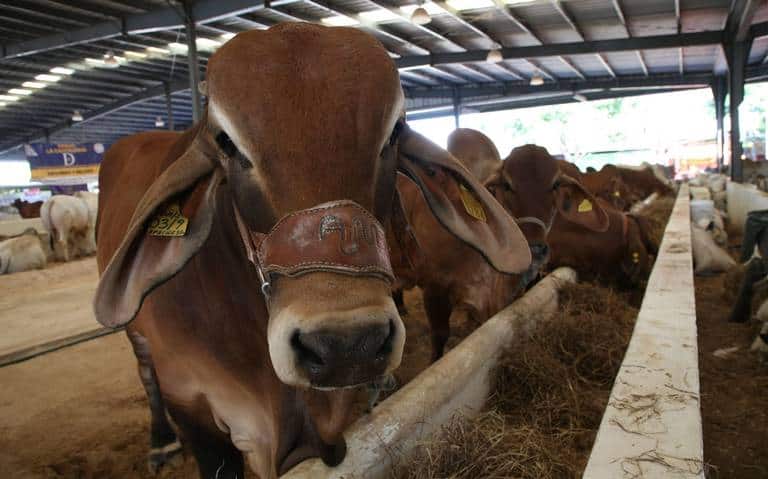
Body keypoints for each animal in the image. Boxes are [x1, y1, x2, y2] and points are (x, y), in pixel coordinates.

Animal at [93, 25, 532, 479]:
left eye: (393, 132)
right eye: (226, 143)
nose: (346, 344)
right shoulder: (191, 403)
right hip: (138, 338)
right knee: (145, 373)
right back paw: (161, 443)